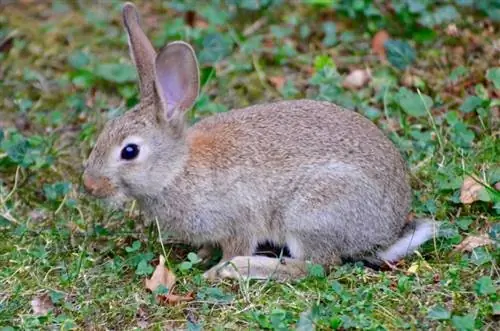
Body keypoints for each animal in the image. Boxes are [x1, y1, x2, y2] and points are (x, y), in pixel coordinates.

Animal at [83, 2, 438, 282]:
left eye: (130, 151)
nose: (89, 185)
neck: (176, 169)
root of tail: (386, 232)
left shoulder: (239, 221)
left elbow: (237, 244)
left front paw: (216, 270)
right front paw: (201, 255)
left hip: (312, 212)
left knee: (316, 266)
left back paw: (242, 269)